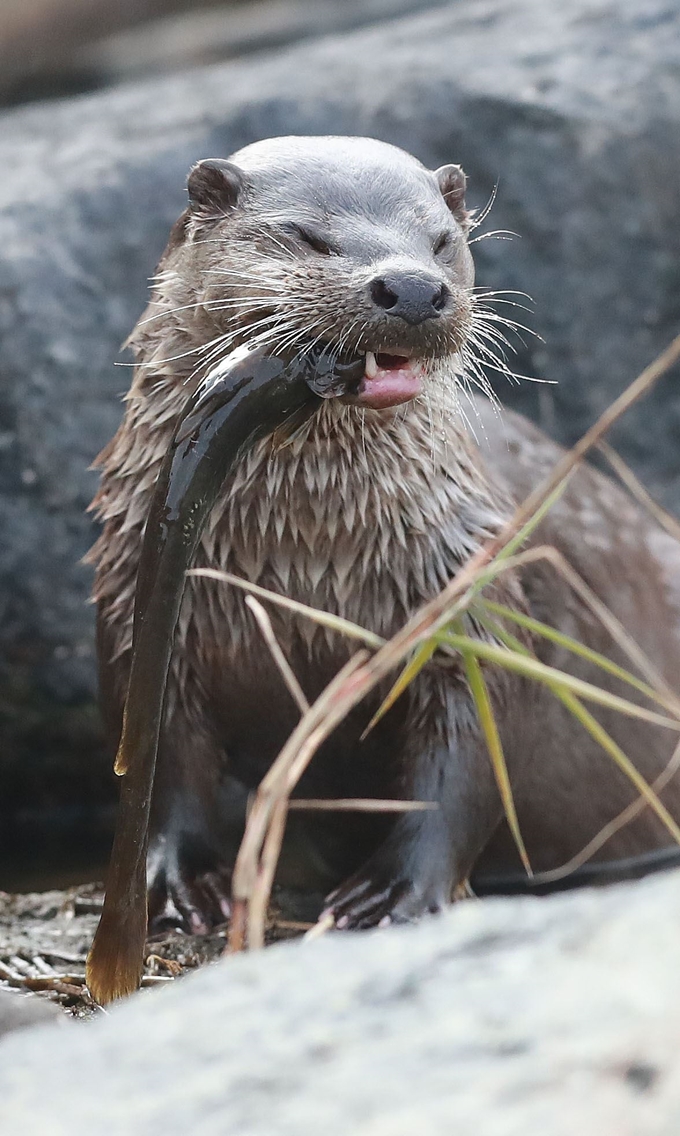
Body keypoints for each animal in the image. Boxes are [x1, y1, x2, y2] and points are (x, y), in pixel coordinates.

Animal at [87, 135, 680, 931]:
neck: (306, 563)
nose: (413, 288)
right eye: (307, 235)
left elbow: (469, 754)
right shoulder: (136, 603)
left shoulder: (471, 592)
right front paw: (179, 878)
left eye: (441, 241)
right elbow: (162, 759)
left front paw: (397, 891)